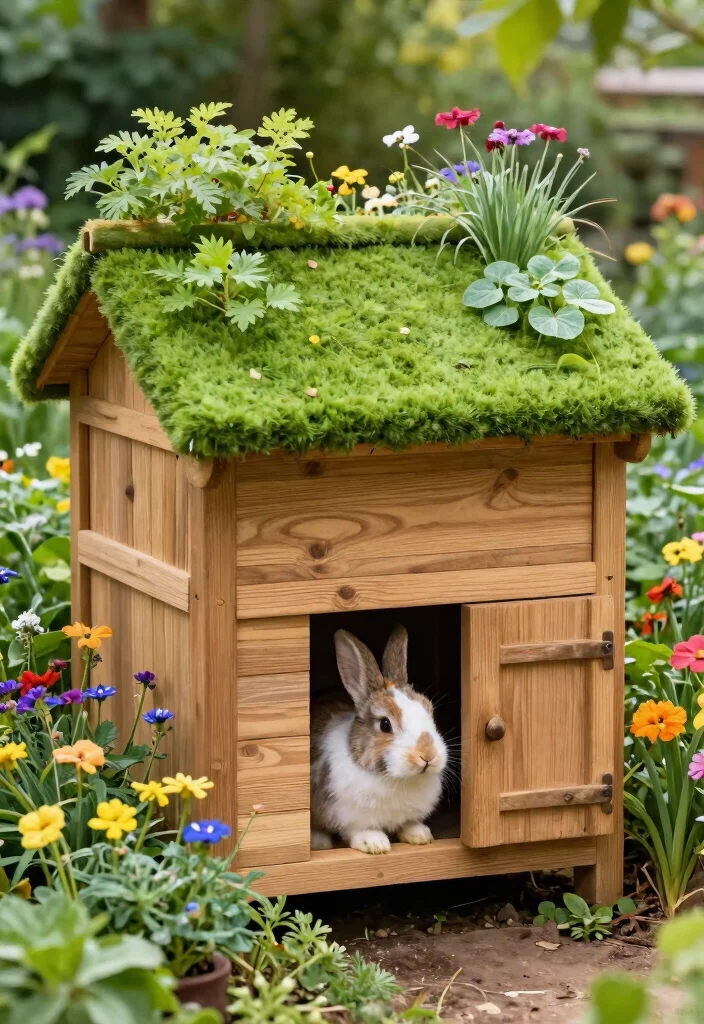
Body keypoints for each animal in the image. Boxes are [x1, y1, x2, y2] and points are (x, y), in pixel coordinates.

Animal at [310, 625, 447, 855]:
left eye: (429, 710)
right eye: (385, 724)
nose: (427, 755)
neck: (395, 778)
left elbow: (409, 824)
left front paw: (420, 835)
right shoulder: (347, 815)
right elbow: (358, 831)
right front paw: (376, 844)